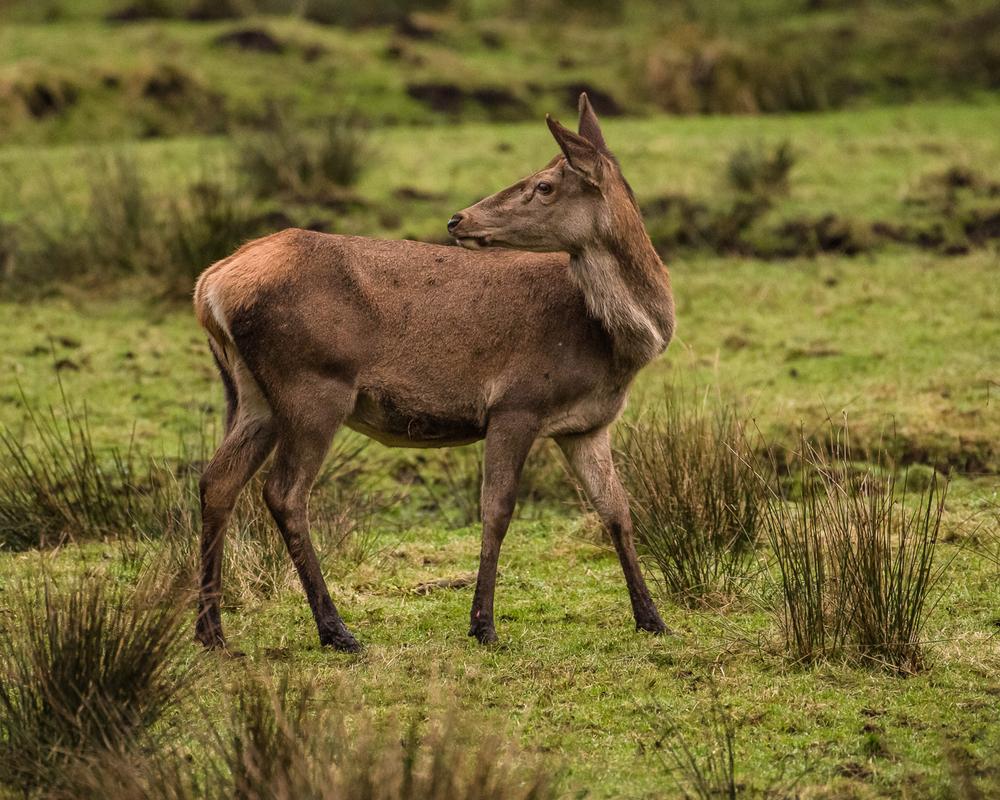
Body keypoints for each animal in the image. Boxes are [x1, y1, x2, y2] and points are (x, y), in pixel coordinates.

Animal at [191, 95, 676, 656]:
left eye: (545, 185)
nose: (457, 219)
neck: (615, 343)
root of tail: (209, 286)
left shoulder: (587, 425)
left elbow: (616, 510)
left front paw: (652, 618)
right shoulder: (517, 403)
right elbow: (497, 510)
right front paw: (483, 625)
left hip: (254, 396)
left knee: (216, 481)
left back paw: (211, 632)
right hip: (312, 386)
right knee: (285, 492)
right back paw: (336, 630)